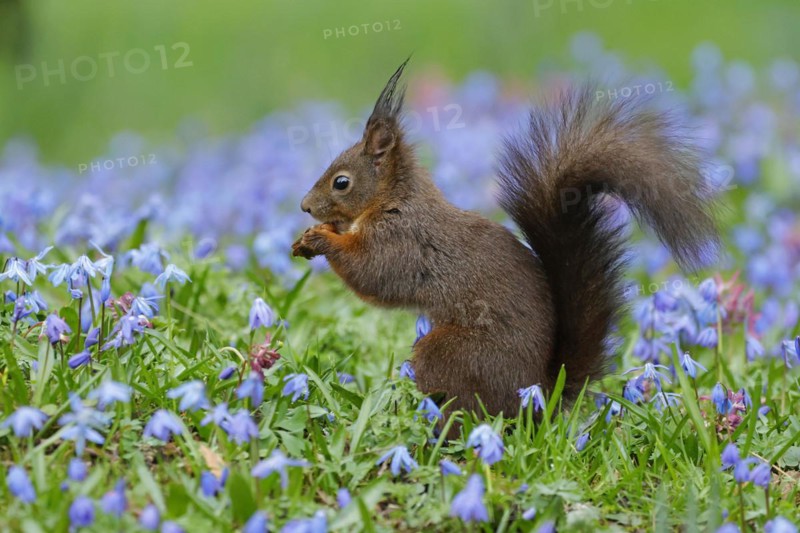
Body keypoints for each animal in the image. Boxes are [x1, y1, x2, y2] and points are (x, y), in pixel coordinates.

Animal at [292, 59, 719, 418]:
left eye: (341, 182)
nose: (304, 206)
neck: (393, 199)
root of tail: (539, 394)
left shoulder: (401, 240)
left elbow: (372, 274)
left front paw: (321, 239)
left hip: (452, 353)